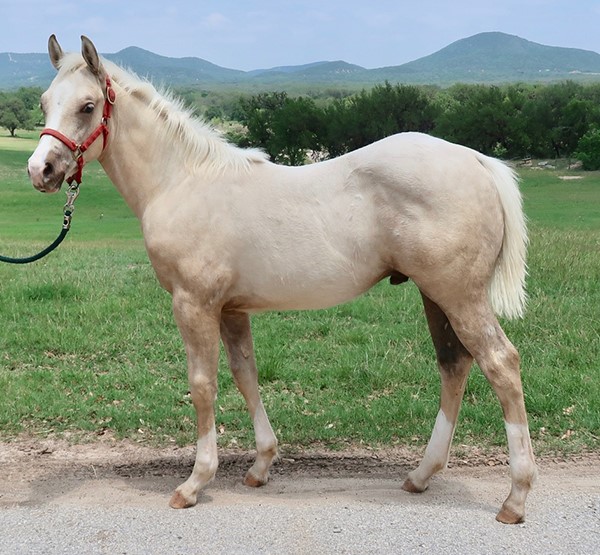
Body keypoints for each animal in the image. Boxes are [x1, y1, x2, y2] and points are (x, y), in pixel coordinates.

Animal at [27, 35, 540, 524]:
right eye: (45, 101)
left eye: (87, 106)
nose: (40, 170)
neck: (182, 182)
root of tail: (476, 161)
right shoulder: (232, 309)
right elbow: (245, 375)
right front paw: (260, 465)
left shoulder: (194, 304)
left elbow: (203, 384)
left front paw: (195, 483)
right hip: (436, 296)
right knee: (455, 364)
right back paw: (421, 475)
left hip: (459, 296)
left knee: (500, 363)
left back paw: (515, 498)